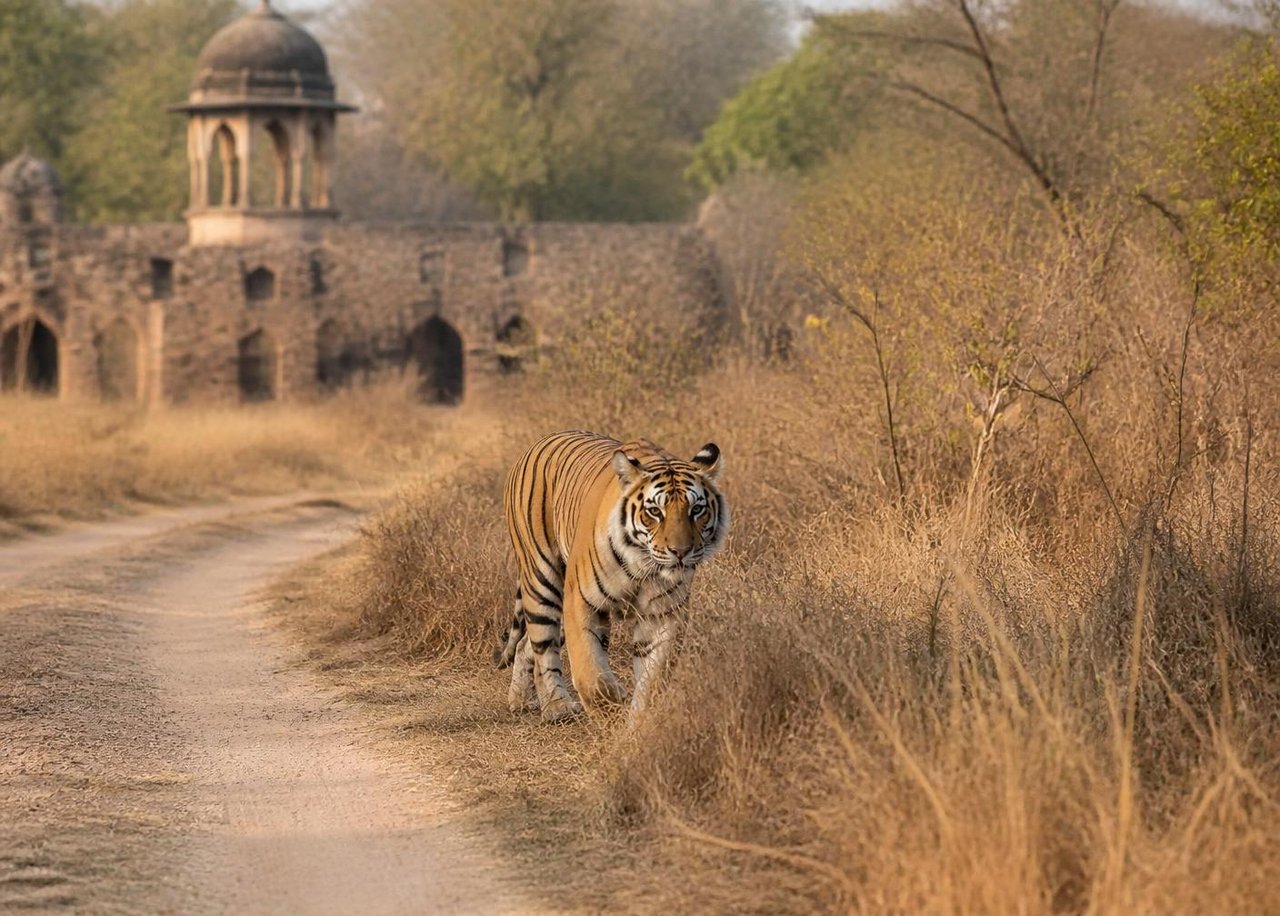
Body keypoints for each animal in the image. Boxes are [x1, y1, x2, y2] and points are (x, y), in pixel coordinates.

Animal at [496, 430, 729, 723]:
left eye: (696, 510)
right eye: (655, 512)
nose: (680, 552)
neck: (642, 566)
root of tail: (538, 442)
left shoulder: (663, 614)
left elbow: (654, 678)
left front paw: (640, 723)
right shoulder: (580, 601)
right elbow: (590, 674)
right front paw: (612, 705)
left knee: (526, 644)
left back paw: (522, 700)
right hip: (542, 578)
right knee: (542, 643)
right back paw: (556, 706)